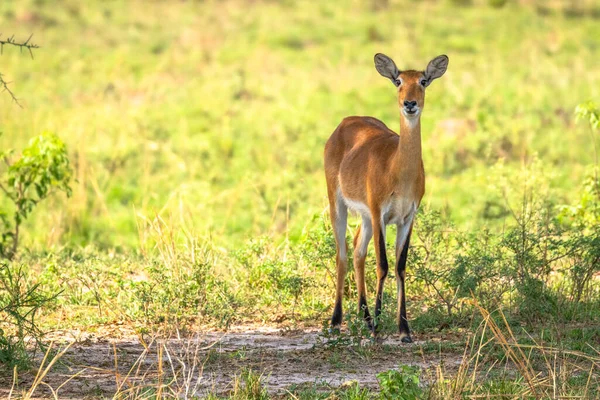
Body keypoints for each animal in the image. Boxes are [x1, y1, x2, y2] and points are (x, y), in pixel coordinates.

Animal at [324, 51, 446, 342]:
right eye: (398, 80)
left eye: (423, 80)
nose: (410, 103)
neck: (397, 169)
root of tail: (345, 122)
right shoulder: (380, 212)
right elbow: (383, 264)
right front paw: (380, 327)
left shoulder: (407, 217)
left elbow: (400, 265)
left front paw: (404, 329)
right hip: (338, 204)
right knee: (342, 254)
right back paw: (336, 321)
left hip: (366, 217)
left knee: (358, 250)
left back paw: (365, 318)